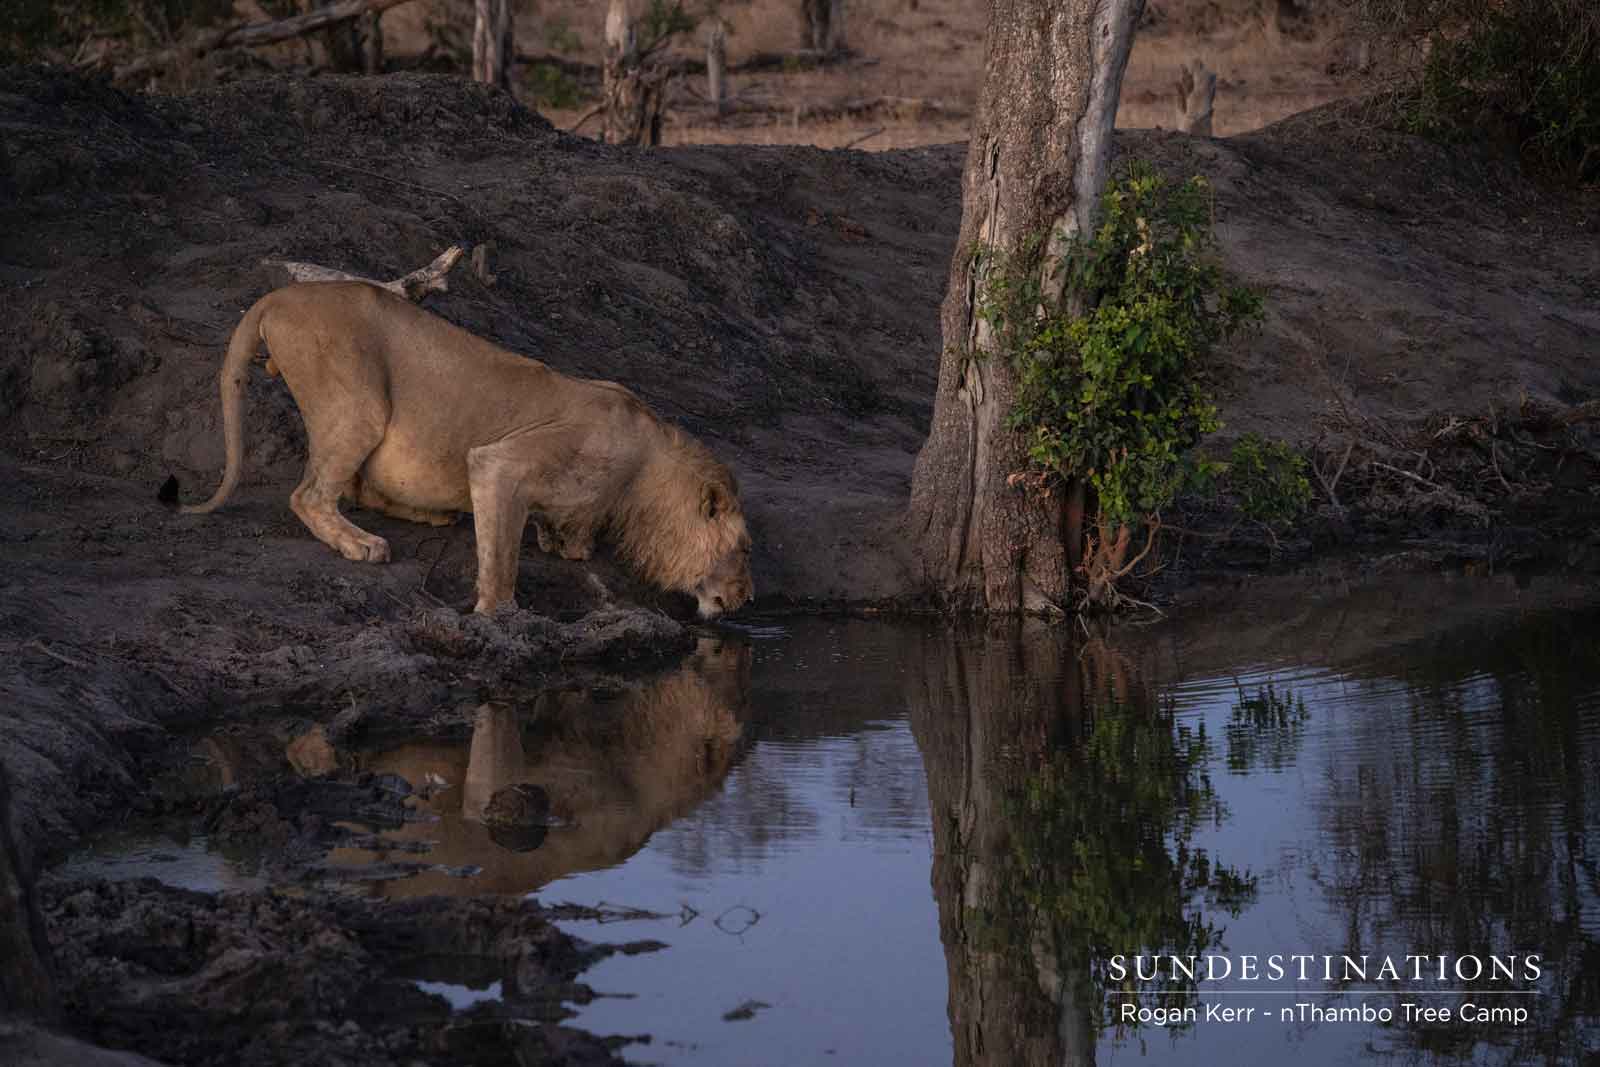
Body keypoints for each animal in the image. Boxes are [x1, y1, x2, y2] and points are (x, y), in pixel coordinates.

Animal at [181, 282, 753, 619]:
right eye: (745, 549)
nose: (748, 599)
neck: (646, 470)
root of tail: (279, 295)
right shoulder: (502, 464)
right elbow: (500, 559)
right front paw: (496, 615)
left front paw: (563, 542)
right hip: (361, 404)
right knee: (311, 494)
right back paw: (361, 543)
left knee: (356, 487)